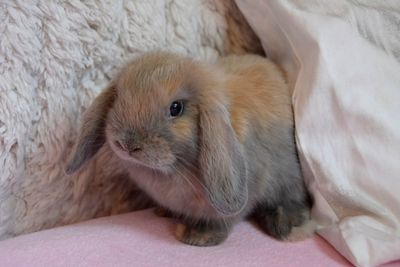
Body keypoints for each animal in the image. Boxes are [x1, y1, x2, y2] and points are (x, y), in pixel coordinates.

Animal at [65, 51, 312, 247]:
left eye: (176, 108)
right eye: (118, 97)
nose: (127, 144)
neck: (174, 169)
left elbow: (224, 219)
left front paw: (196, 236)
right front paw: (166, 212)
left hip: (287, 177)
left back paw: (287, 225)